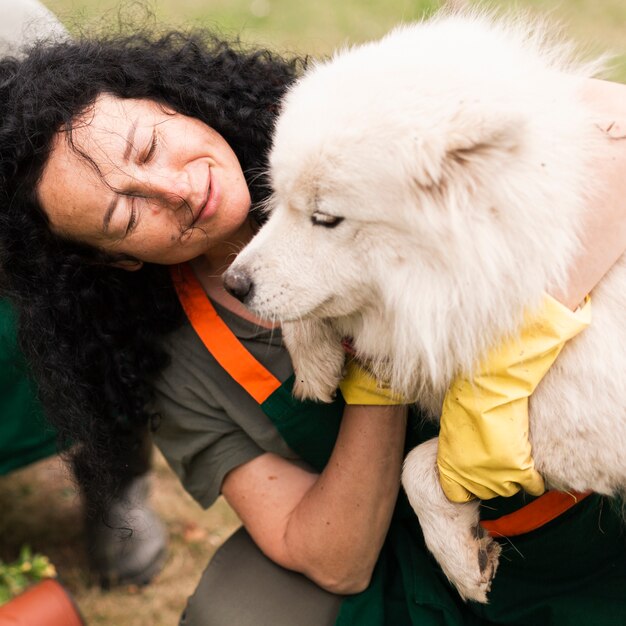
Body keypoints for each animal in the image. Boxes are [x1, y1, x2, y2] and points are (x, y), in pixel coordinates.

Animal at [224, 9, 624, 604]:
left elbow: (423, 462)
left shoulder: (584, 423)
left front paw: (457, 555)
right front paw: (314, 358)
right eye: (280, 200)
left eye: (326, 217)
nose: (232, 284)